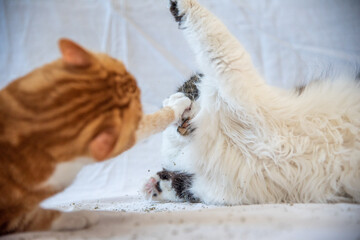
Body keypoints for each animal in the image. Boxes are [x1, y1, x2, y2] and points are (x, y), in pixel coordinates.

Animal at [142, 0, 358, 204]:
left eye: (188, 92)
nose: (177, 115)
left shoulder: (235, 78)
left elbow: (209, 31)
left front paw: (179, 3)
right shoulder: (221, 190)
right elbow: (183, 187)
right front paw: (154, 185)